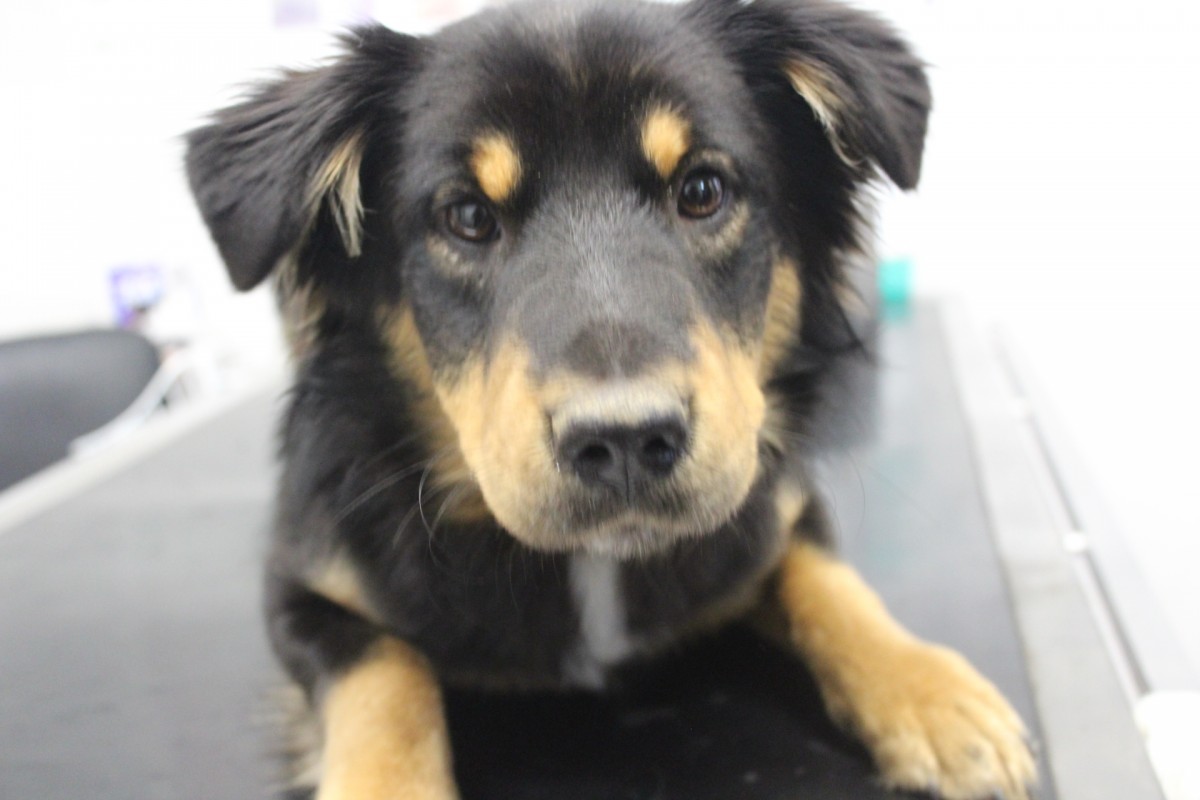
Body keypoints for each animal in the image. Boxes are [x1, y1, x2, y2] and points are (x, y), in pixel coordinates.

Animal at [186, 1, 1036, 797]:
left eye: (702, 189)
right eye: (467, 216)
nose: (626, 440)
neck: (590, 564)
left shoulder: (769, 502)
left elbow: (827, 577)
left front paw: (934, 698)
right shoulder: (302, 580)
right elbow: (383, 673)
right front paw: (387, 785)